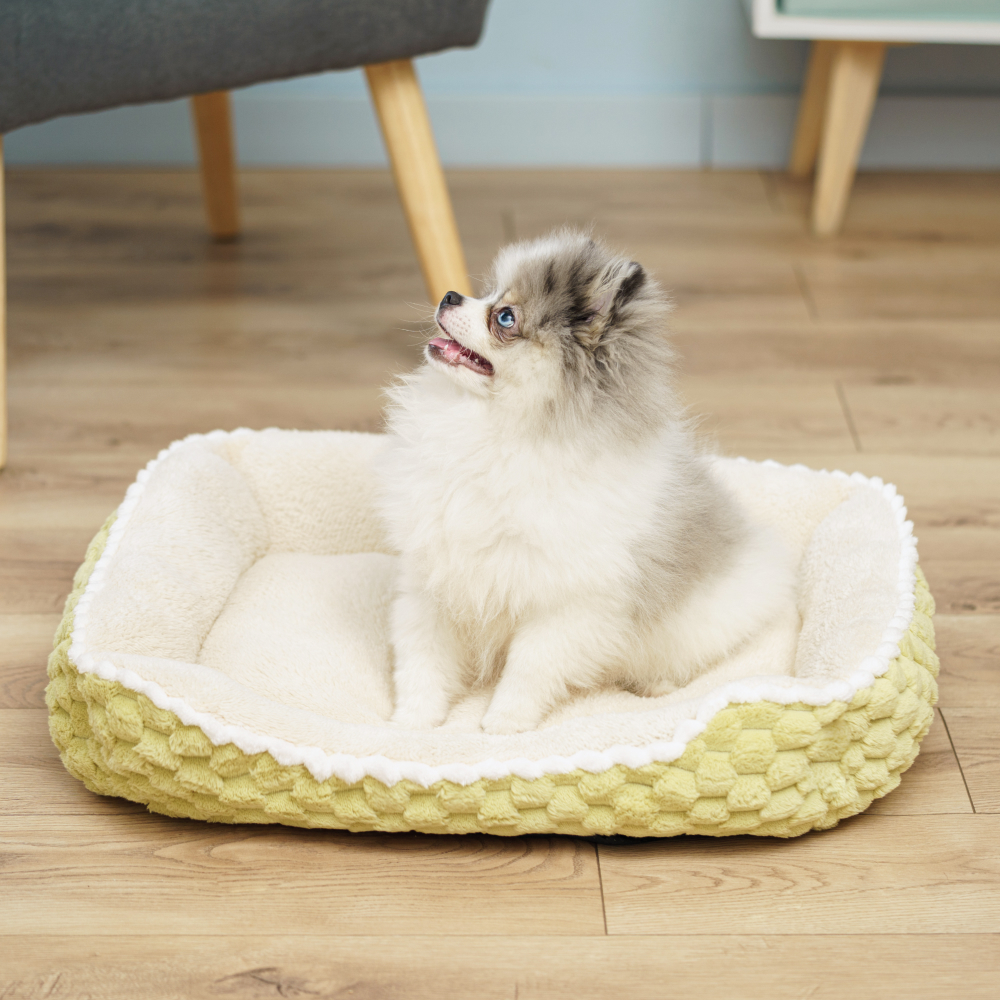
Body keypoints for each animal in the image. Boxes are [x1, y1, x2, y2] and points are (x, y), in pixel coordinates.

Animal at [377, 230, 797, 734]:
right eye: (489, 291)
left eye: (505, 317)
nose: (450, 295)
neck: (495, 432)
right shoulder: (432, 578)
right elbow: (421, 658)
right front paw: (412, 722)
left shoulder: (567, 604)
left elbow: (529, 667)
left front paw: (504, 722)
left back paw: (656, 684)